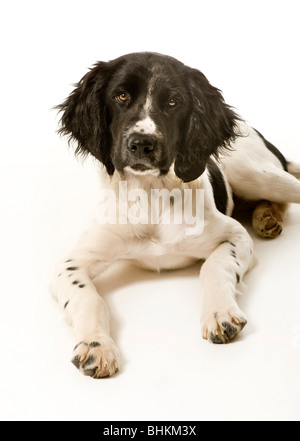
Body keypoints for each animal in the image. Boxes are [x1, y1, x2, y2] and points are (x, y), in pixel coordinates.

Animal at [50, 50, 300, 374]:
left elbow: (214, 267)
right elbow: (87, 297)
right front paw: (96, 345)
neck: (151, 196)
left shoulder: (234, 236)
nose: (142, 144)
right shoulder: (70, 263)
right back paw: (266, 217)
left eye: (173, 102)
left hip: (254, 173)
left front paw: (219, 313)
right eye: (121, 96)